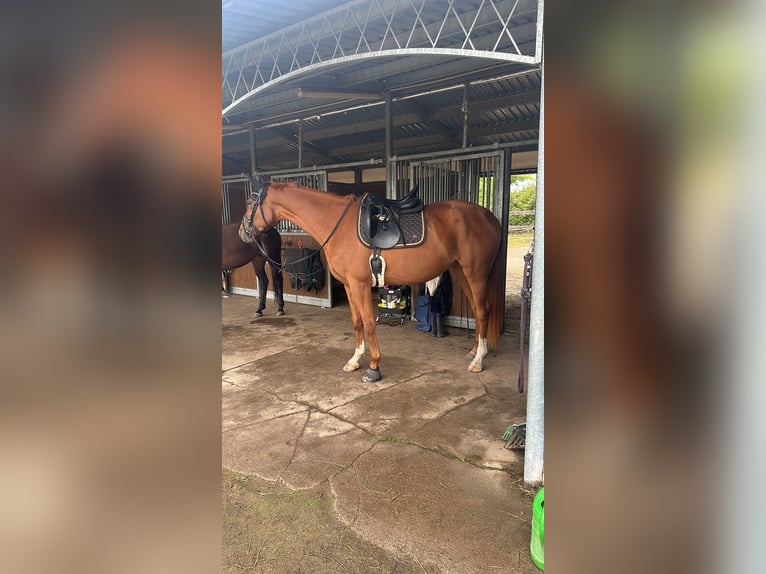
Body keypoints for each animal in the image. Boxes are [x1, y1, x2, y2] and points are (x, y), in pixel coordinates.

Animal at [238, 181, 504, 382]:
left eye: (251, 202)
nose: (243, 233)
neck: (338, 225)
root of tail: (489, 217)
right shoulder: (349, 285)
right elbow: (357, 322)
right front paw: (355, 360)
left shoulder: (360, 284)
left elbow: (368, 323)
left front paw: (374, 367)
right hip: (461, 272)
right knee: (478, 310)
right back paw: (473, 352)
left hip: (476, 273)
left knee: (483, 311)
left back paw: (478, 360)